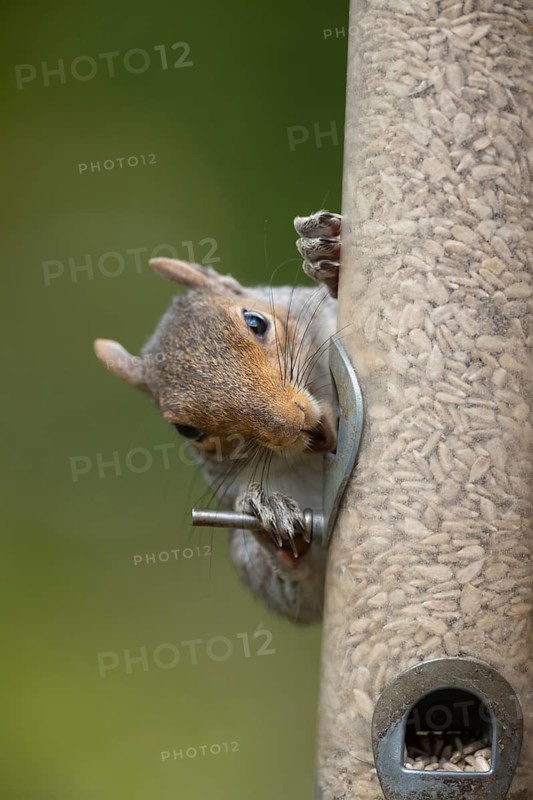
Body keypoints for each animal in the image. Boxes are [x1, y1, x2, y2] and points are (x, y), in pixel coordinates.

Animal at [94, 210, 342, 623]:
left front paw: (328, 255)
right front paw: (268, 520)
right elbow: (306, 599)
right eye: (187, 430)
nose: (293, 424)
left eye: (255, 321)